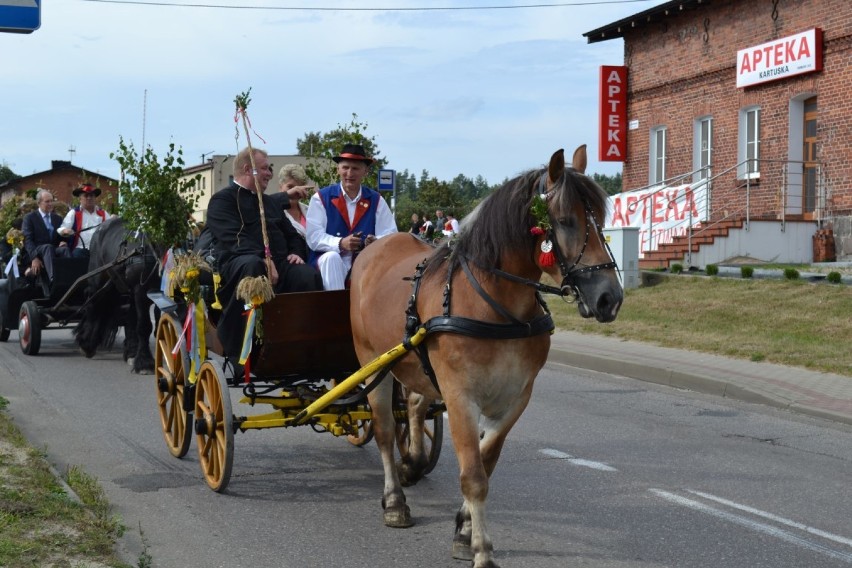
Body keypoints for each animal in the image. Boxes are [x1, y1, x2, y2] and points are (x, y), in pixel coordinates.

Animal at [75, 217, 160, 372]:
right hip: (97, 279)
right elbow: (144, 325)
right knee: (94, 306)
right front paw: (145, 363)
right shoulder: (141, 290)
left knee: (126, 315)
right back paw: (87, 344)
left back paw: (130, 352)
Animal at [350, 148, 624, 568]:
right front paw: (482, 549)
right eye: (565, 220)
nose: (610, 298)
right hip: (372, 364)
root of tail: (374, 246)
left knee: (413, 405)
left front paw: (464, 529)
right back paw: (395, 500)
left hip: (415, 366)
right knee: (382, 431)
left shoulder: (515, 397)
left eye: (602, 220)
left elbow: (485, 460)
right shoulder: (461, 397)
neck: (497, 306)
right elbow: (473, 475)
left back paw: (412, 460)